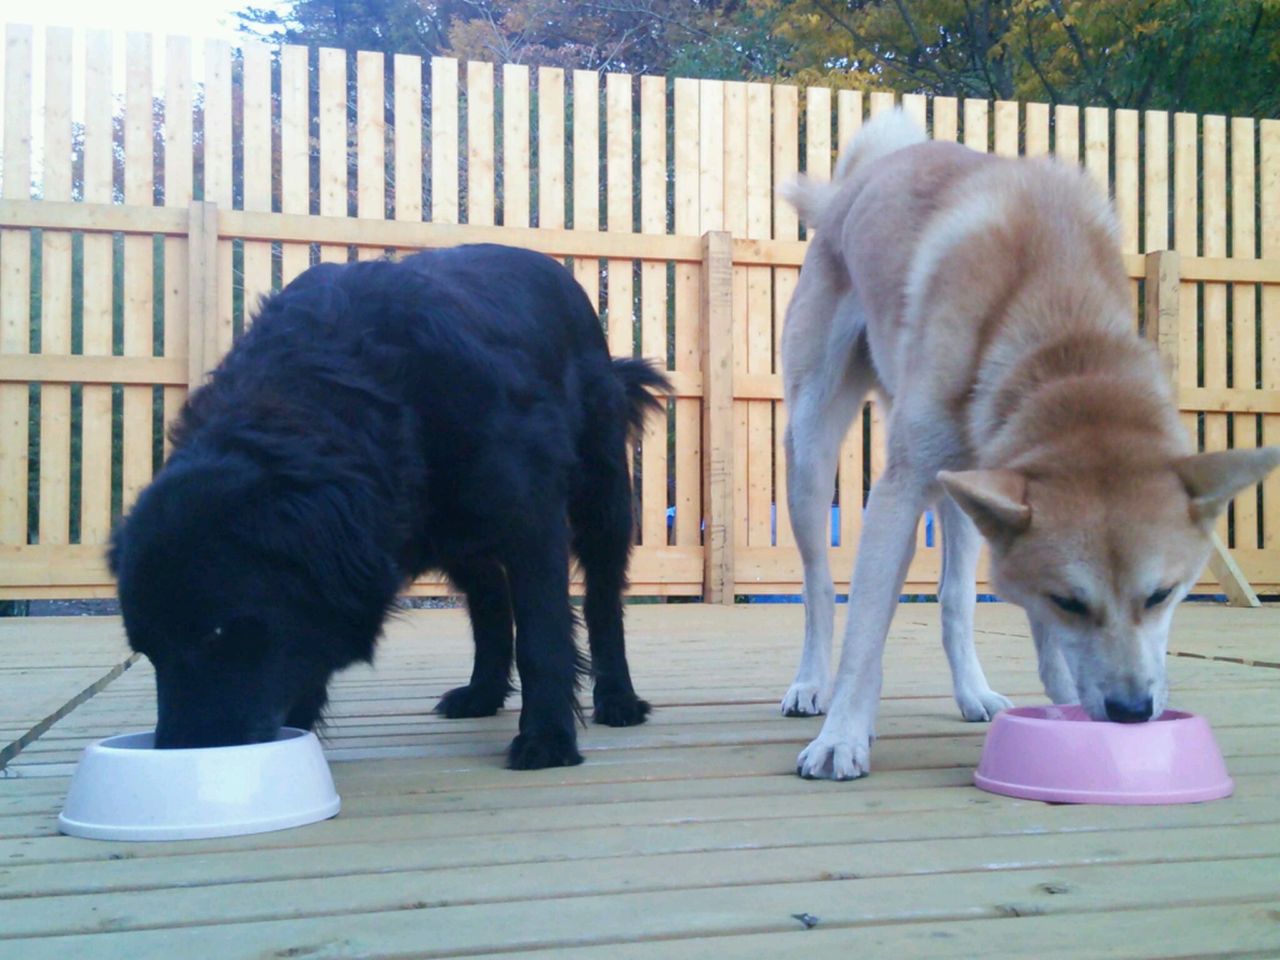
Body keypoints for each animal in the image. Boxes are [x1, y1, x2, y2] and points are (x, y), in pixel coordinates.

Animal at [109, 244, 670, 770]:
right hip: (454, 535)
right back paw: (483, 691)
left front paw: (548, 738)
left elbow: (543, 634)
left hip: (600, 501)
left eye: (219, 632)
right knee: (489, 598)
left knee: (601, 600)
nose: (179, 753)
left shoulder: (532, 518)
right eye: (147, 650)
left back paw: (617, 697)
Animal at [777, 110, 1280, 780]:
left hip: (961, 490)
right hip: (813, 458)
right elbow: (863, 638)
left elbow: (1036, 640)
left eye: (1161, 596)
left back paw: (973, 691)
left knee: (955, 600)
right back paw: (811, 684)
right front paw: (842, 738)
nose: (1130, 712)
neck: (1058, 333)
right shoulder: (899, 494)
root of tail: (858, 181)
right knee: (817, 589)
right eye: (1070, 601)